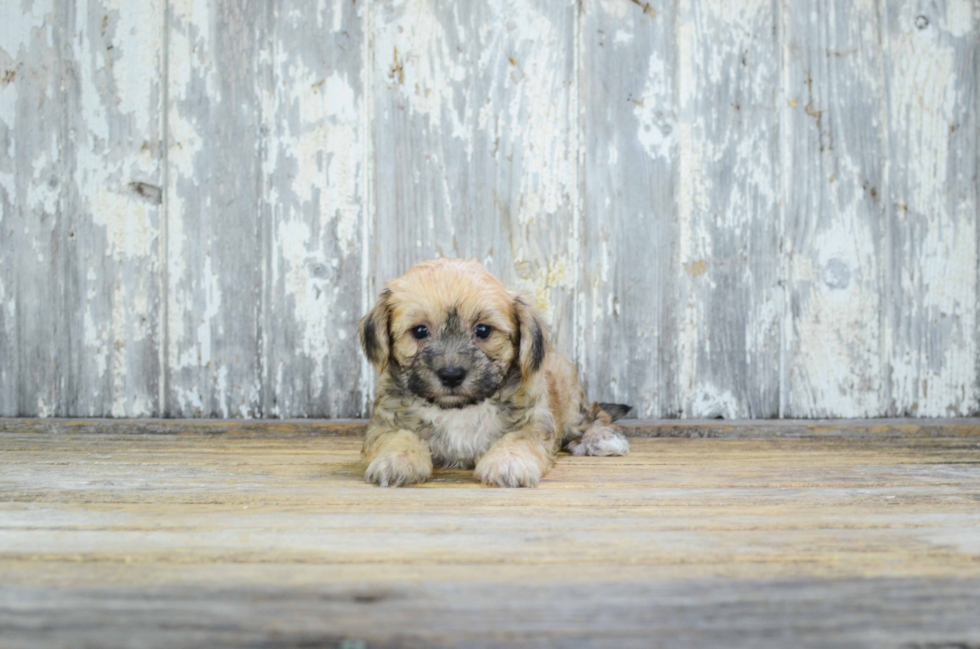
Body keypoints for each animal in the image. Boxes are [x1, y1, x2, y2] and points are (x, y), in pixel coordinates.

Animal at [358, 258, 628, 486]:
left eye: (483, 330)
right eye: (420, 331)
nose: (451, 374)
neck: (458, 410)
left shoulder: (533, 419)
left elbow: (518, 439)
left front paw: (508, 462)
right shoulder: (386, 422)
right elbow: (397, 437)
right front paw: (397, 460)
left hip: (570, 399)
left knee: (592, 417)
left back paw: (602, 439)